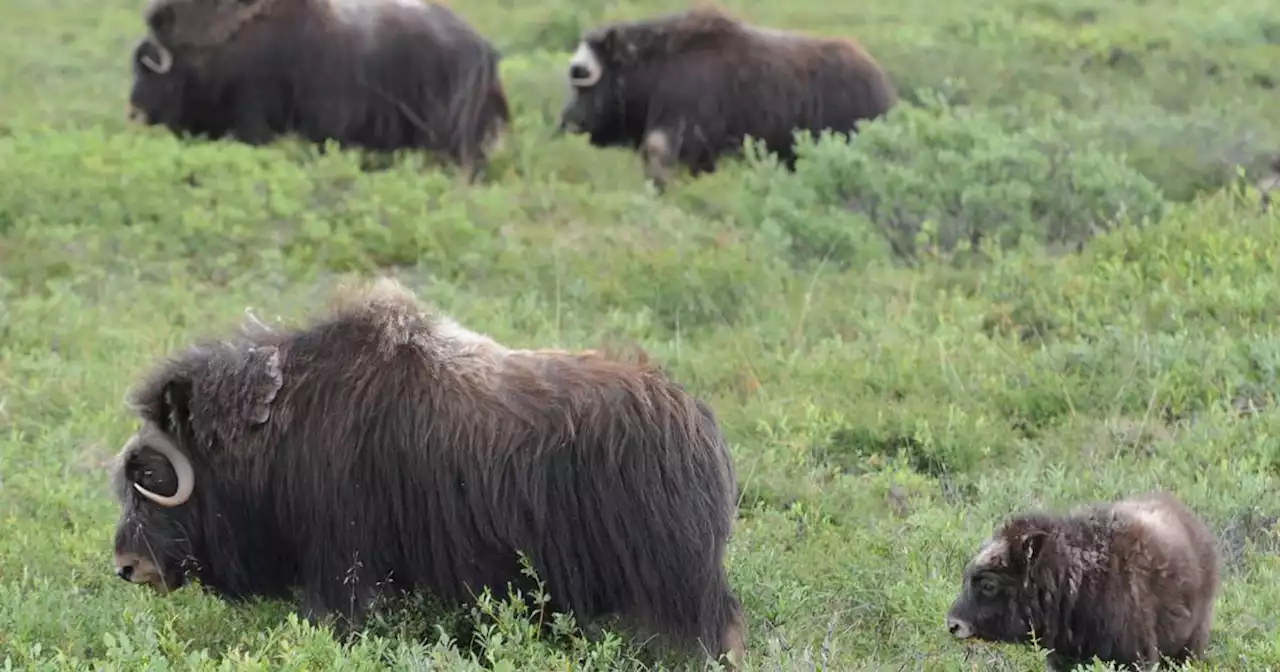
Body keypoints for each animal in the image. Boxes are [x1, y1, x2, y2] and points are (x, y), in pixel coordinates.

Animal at [111, 277, 747, 665]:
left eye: (152, 476)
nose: (127, 566)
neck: (277, 427)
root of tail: (696, 422)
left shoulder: (342, 562)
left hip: (676, 581)